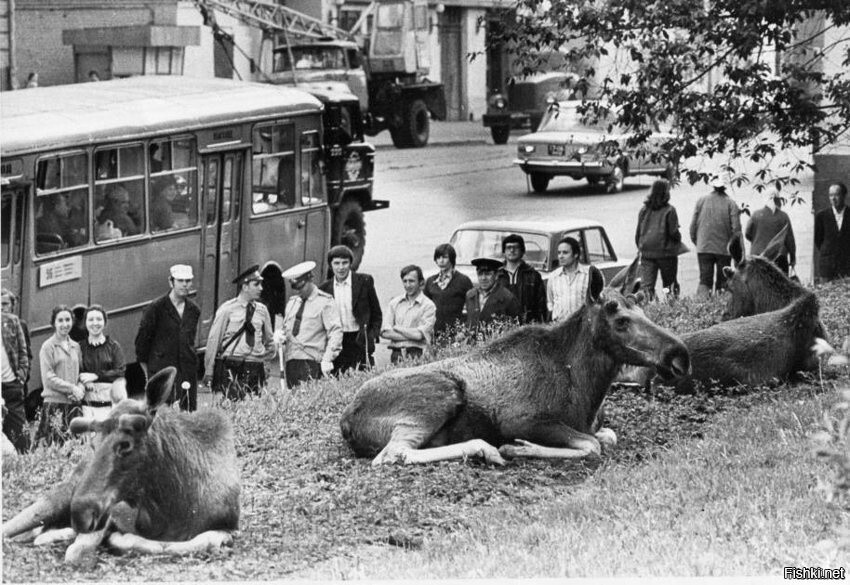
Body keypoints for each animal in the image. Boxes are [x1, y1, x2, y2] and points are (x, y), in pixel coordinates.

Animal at [1, 368, 240, 564]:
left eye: (125, 444)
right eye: (93, 443)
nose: (80, 513)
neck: (172, 507)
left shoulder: (228, 527)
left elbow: (197, 542)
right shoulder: (109, 515)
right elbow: (84, 550)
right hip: (59, 497)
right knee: (12, 529)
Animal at [338, 262, 688, 466]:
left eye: (642, 307)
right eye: (621, 320)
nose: (679, 355)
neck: (586, 386)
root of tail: (346, 420)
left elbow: (606, 437)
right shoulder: (521, 420)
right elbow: (591, 445)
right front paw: (517, 448)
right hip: (439, 396)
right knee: (391, 454)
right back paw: (486, 449)